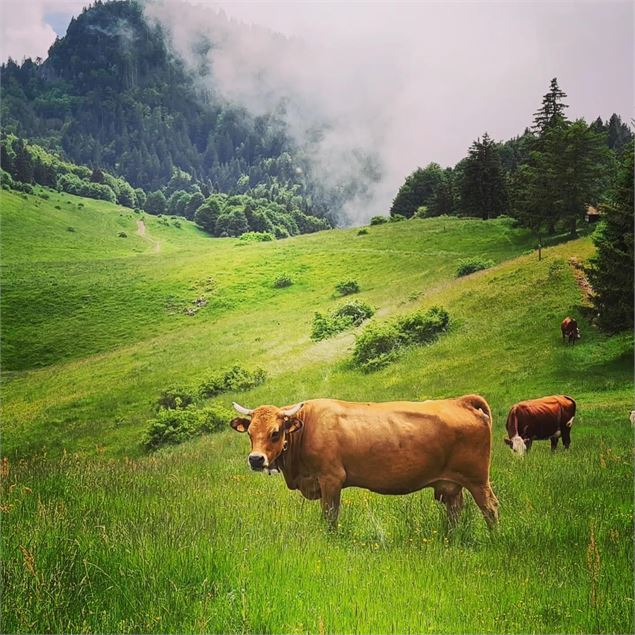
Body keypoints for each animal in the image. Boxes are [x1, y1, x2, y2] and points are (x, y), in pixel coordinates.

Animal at [231, 398, 500, 532]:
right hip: (451, 485)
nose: (256, 459)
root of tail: (460, 401)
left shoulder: (331, 480)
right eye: (250, 432)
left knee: (490, 508)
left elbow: (330, 516)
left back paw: (494, 538)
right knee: (455, 512)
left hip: (478, 481)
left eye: (275, 433)